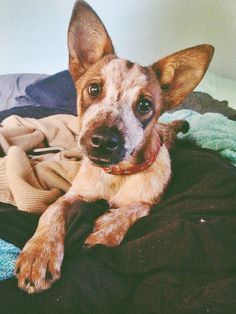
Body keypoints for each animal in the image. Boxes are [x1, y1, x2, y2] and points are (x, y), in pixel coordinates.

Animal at [14, 0, 214, 294]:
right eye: (94, 89)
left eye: (144, 105)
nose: (103, 141)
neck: (116, 175)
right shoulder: (73, 195)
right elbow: (52, 211)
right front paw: (39, 253)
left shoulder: (151, 200)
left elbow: (136, 208)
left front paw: (107, 229)